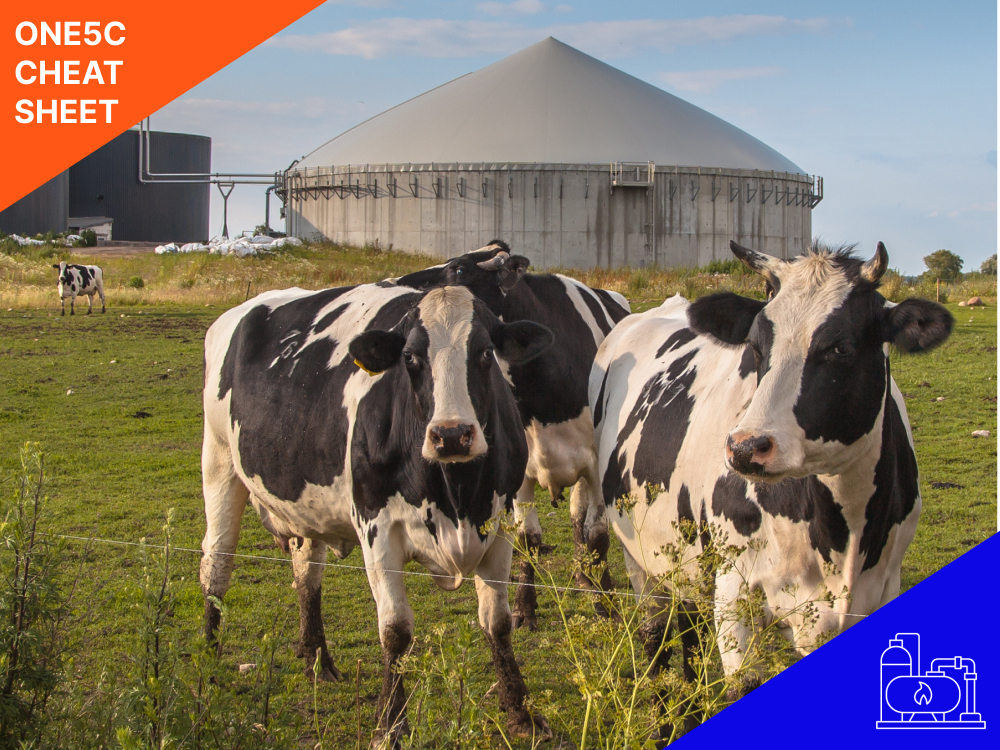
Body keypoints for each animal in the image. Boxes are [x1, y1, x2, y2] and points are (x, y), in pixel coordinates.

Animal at [201, 283, 553, 742]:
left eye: (484, 352)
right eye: (410, 357)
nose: (452, 435)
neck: (455, 495)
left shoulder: (499, 524)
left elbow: (497, 623)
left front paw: (522, 714)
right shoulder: (377, 528)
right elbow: (395, 631)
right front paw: (390, 724)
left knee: (306, 574)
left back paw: (317, 659)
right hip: (219, 462)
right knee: (216, 565)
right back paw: (209, 664)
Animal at [397, 241, 631, 629]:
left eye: (459, 269)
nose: (401, 285)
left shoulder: (598, 464)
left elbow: (597, 535)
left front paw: (606, 603)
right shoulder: (520, 469)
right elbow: (528, 538)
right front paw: (524, 606)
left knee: (581, 522)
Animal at [590, 241, 952, 732]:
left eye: (840, 347)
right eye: (757, 348)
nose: (747, 447)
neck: (839, 531)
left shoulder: (882, 590)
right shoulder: (734, 592)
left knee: (688, 629)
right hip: (642, 558)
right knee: (657, 635)